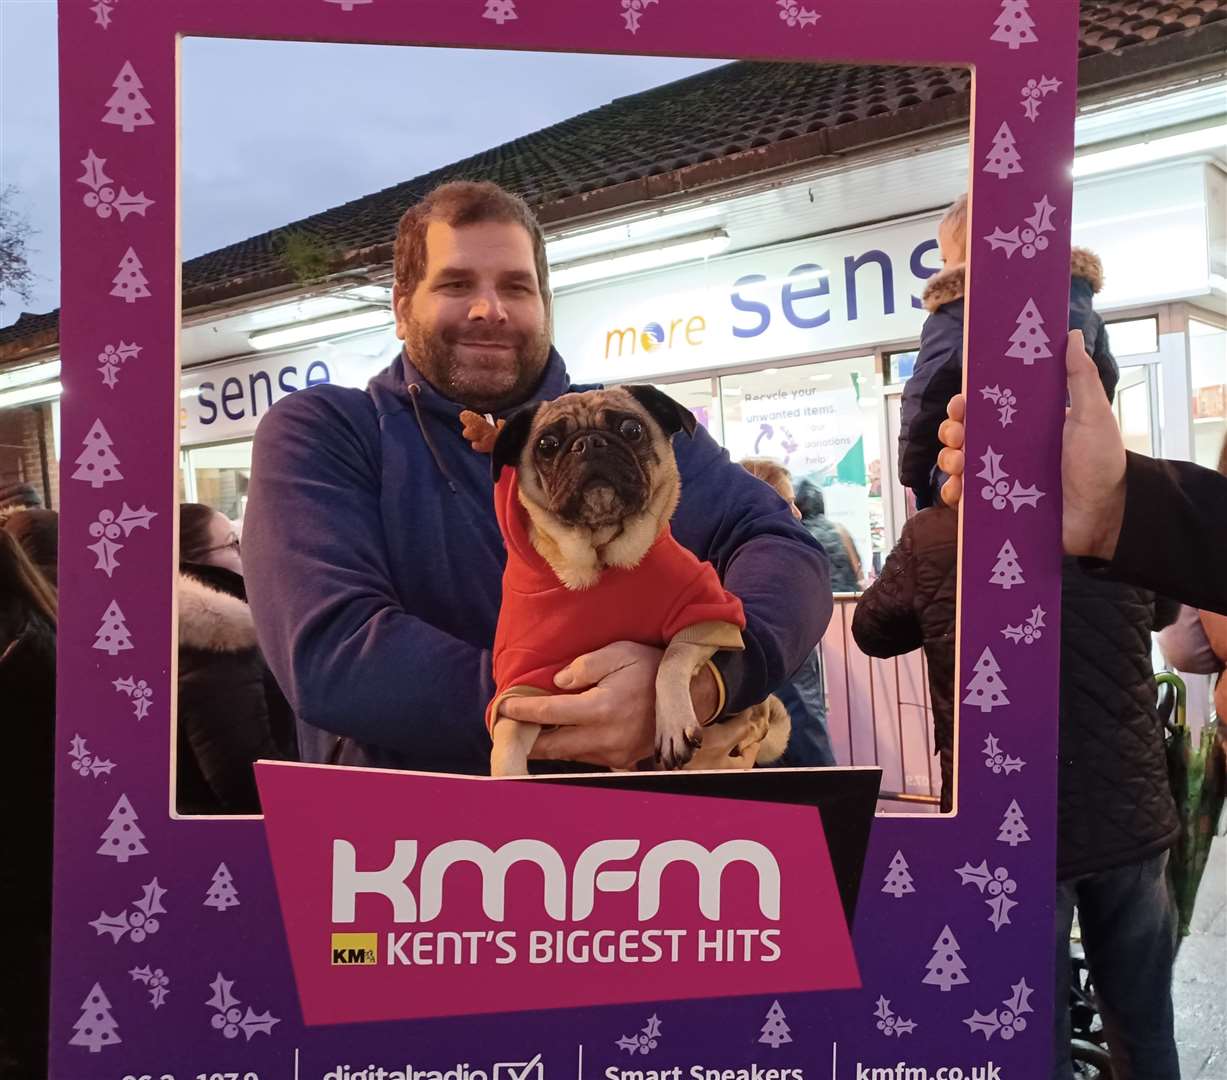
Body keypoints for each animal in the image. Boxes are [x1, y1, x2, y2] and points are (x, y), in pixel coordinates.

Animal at [473, 387, 790, 775]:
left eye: (631, 429)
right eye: (547, 445)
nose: (588, 443)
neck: (600, 559)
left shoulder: (707, 614)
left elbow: (671, 657)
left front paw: (673, 722)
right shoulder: (523, 684)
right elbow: (505, 745)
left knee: (757, 719)